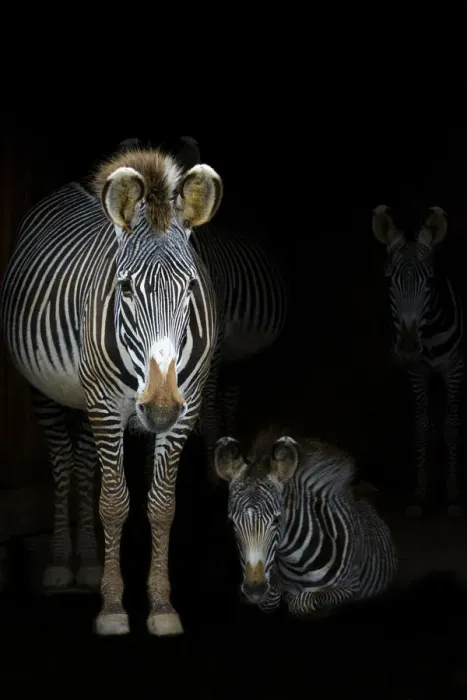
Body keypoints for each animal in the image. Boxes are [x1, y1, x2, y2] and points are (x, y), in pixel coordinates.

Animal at [0, 146, 224, 636]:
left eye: (191, 287)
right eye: (125, 287)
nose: (159, 409)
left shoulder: (187, 407)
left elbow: (161, 505)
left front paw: (161, 605)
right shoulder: (104, 405)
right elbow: (115, 503)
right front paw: (113, 607)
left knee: (84, 463)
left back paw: (86, 564)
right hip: (50, 393)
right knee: (64, 464)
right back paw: (62, 564)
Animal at [213, 428, 397, 617]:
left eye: (277, 520)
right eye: (232, 523)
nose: (254, 590)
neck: (297, 564)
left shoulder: (350, 588)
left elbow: (304, 601)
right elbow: (271, 600)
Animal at [372, 204, 464, 518]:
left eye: (430, 281)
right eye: (389, 280)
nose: (410, 346)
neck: (430, 333)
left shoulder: (455, 370)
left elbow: (451, 425)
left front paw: (453, 496)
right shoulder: (417, 372)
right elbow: (422, 426)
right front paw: (421, 495)